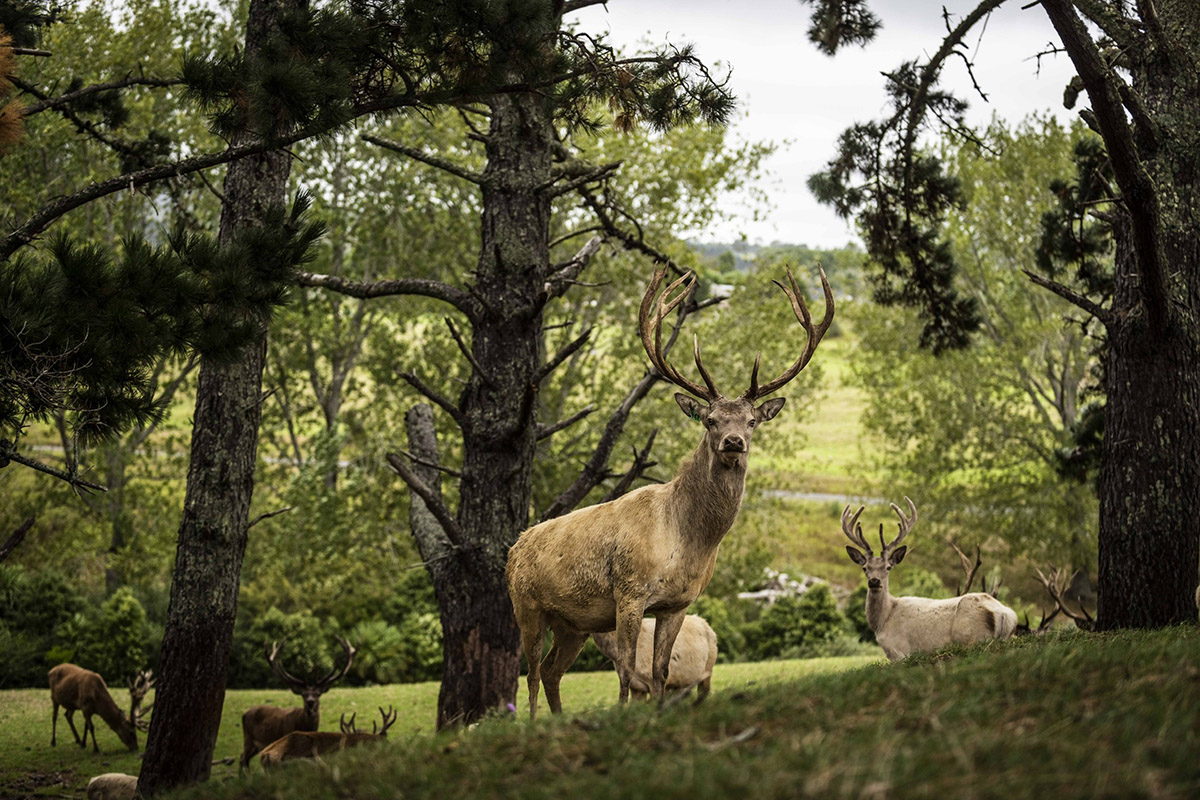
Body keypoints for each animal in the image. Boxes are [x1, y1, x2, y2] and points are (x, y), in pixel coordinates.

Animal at [236, 633, 352, 772]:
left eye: (318, 694)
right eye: (303, 694)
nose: (310, 702)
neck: (305, 726)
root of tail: (244, 714)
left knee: (243, 758)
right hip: (249, 739)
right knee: (242, 759)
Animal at [508, 263, 835, 719]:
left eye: (752, 420)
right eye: (710, 420)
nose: (733, 442)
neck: (686, 541)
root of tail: (513, 548)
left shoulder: (679, 602)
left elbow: (661, 671)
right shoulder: (629, 591)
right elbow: (628, 671)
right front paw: (625, 716)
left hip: (574, 622)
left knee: (554, 672)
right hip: (527, 607)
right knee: (534, 674)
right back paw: (534, 722)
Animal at [840, 501, 1017, 662]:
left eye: (888, 567)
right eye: (865, 568)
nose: (874, 581)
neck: (882, 621)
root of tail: (1004, 614)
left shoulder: (899, 651)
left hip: (972, 637)